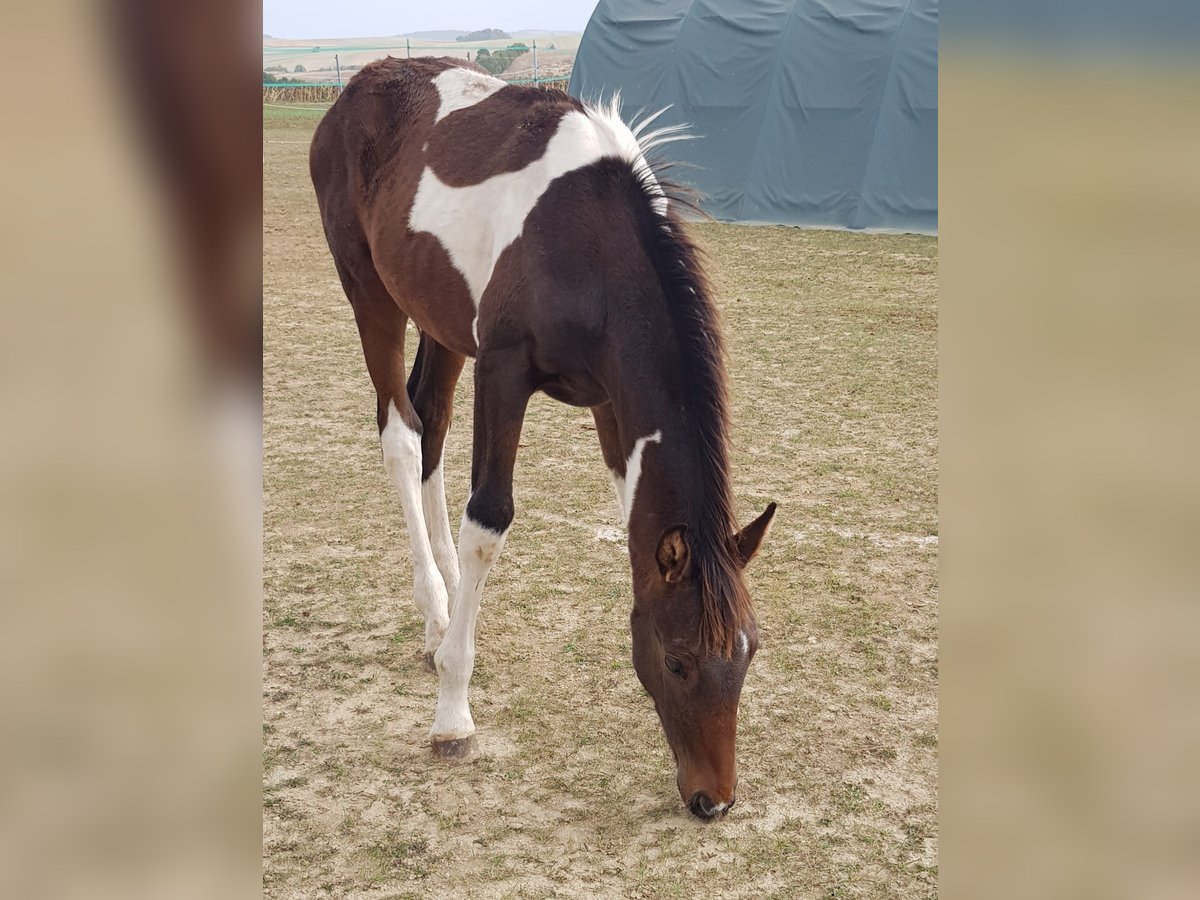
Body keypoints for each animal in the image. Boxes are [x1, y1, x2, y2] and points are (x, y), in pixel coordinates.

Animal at [310, 57, 776, 820]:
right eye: (677, 660)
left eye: (748, 651)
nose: (714, 800)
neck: (584, 240)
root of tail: (361, 83)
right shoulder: (503, 372)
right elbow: (489, 520)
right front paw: (453, 715)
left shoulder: (612, 404)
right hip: (370, 295)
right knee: (402, 437)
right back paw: (438, 615)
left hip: (441, 322)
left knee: (431, 425)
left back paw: (445, 616)